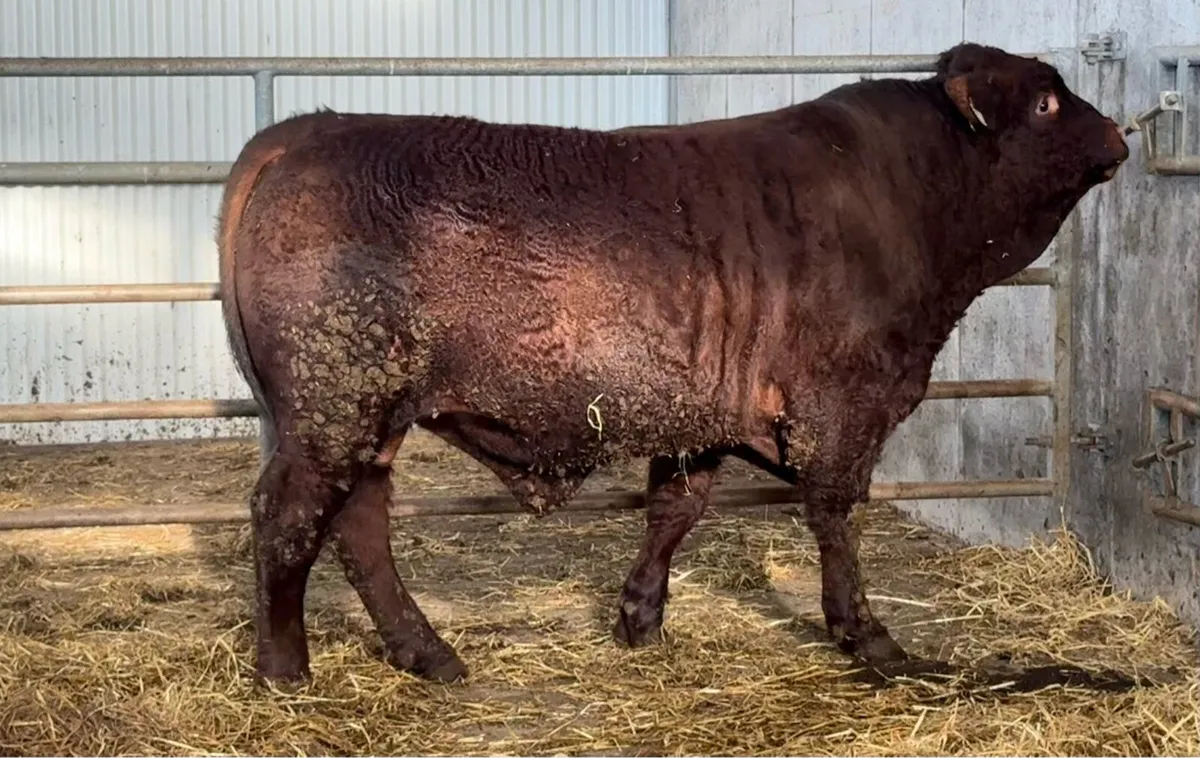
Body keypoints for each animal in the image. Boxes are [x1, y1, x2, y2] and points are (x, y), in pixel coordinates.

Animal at [216, 42, 1128, 685]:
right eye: (1047, 100)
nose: (1121, 133)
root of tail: (318, 126)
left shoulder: (704, 409)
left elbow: (675, 510)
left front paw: (640, 619)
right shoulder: (843, 405)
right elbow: (836, 517)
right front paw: (867, 636)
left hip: (369, 417)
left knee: (360, 525)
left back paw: (427, 652)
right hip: (335, 404)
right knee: (289, 517)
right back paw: (285, 670)